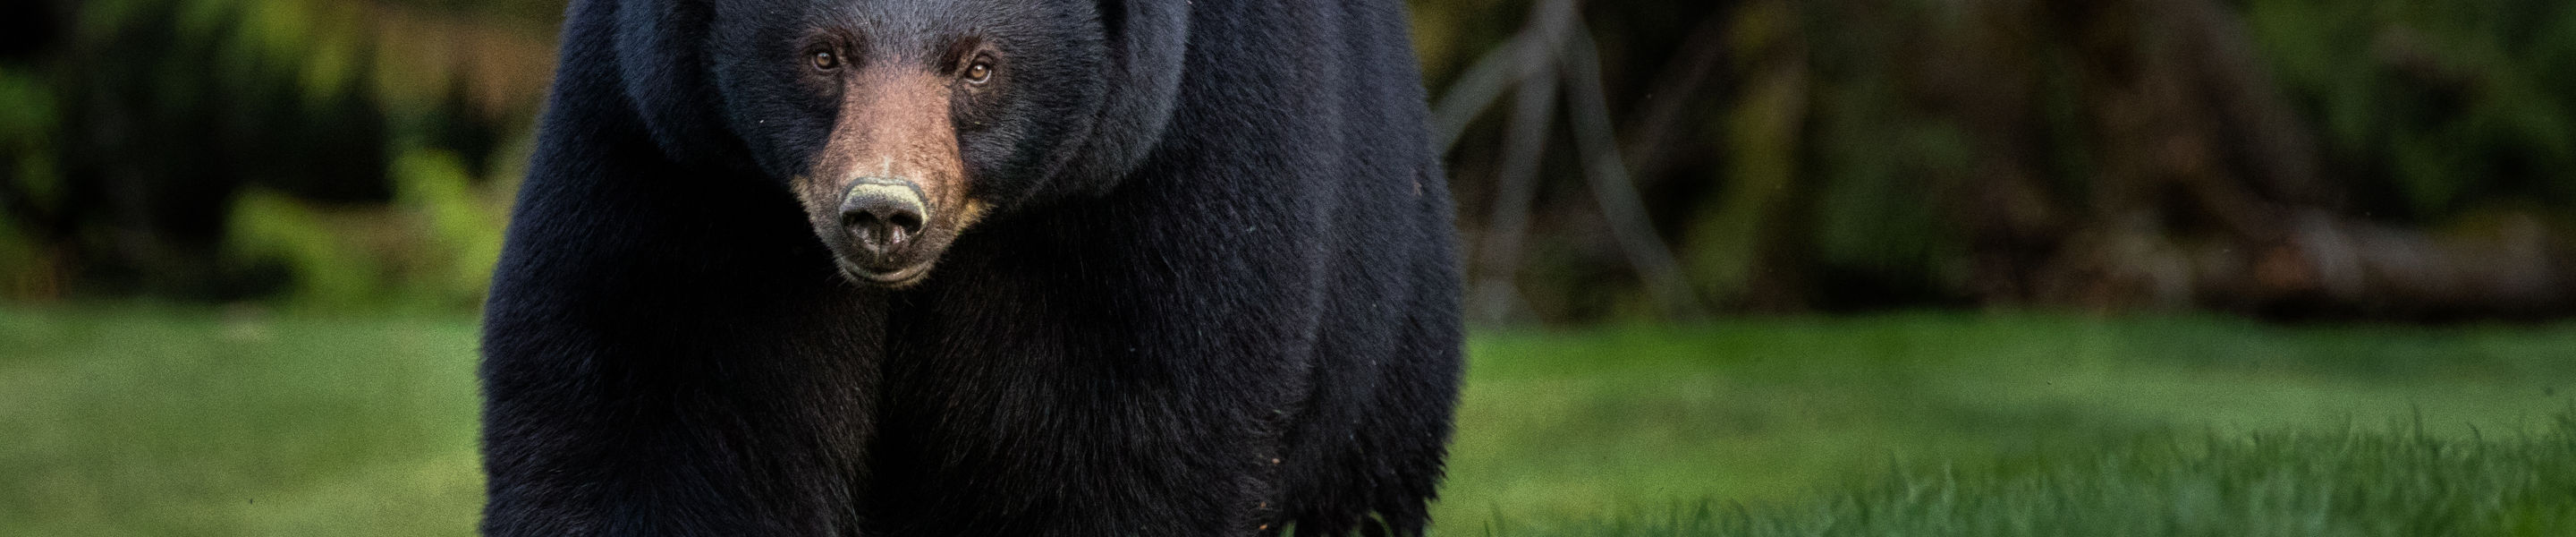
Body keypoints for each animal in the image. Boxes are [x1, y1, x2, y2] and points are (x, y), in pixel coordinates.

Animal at [475, 0, 1463, 535]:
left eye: (977, 66)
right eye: (824, 53)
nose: (882, 213)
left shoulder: (1169, 166)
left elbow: (1128, 426)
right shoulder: (674, 158)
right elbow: (653, 398)